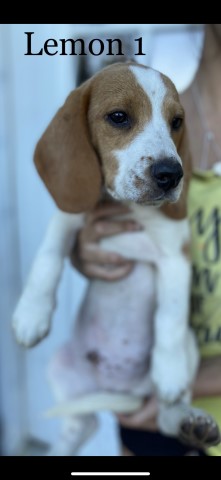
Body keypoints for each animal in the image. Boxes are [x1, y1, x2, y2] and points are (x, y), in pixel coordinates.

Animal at [12, 62, 220, 454]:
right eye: (119, 117)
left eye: (177, 122)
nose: (171, 174)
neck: (127, 207)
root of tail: (119, 390)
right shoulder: (69, 219)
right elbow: (47, 257)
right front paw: (31, 314)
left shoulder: (176, 254)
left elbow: (169, 317)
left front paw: (169, 372)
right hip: (61, 368)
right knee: (81, 423)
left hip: (189, 347)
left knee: (163, 415)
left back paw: (190, 421)